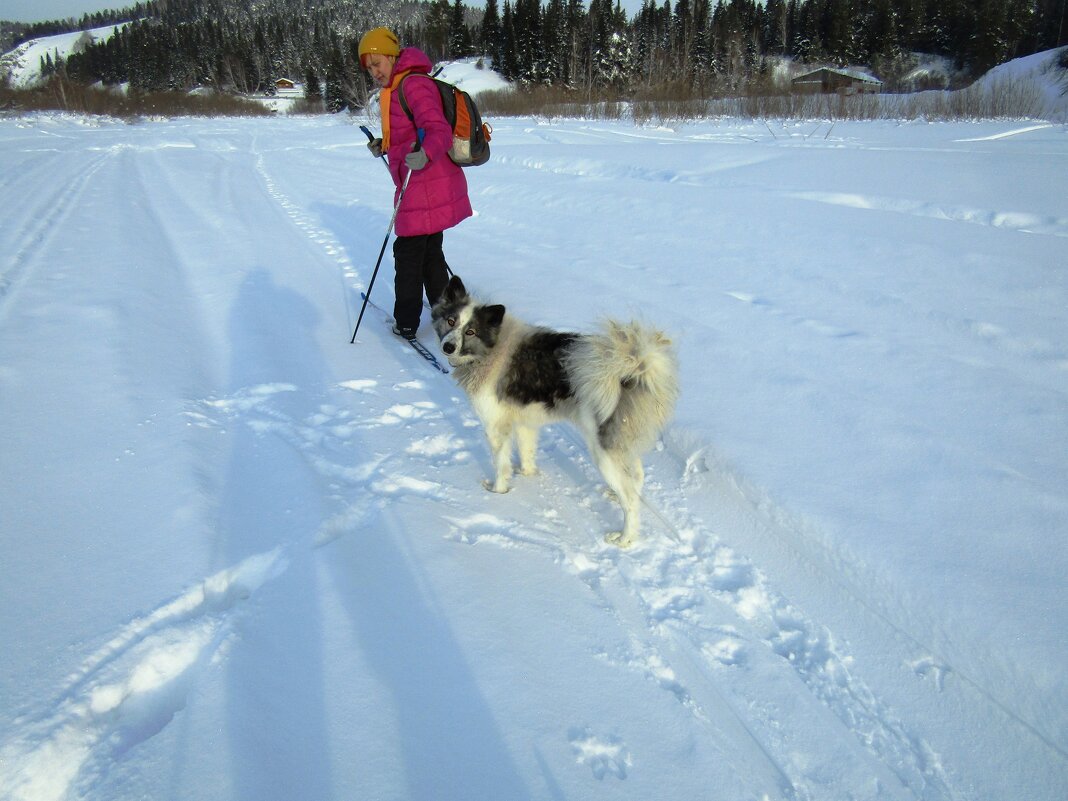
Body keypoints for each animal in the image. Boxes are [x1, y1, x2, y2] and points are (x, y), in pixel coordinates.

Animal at [431, 277, 674, 551]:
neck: (491, 350)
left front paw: (497, 492)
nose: (448, 346)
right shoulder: (525, 423)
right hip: (619, 440)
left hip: (602, 450)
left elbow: (500, 465)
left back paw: (625, 538)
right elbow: (527, 454)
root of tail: (633, 368)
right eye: (451, 321)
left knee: (631, 500)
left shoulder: (496, 427)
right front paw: (527, 475)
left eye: (470, 331)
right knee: (637, 475)